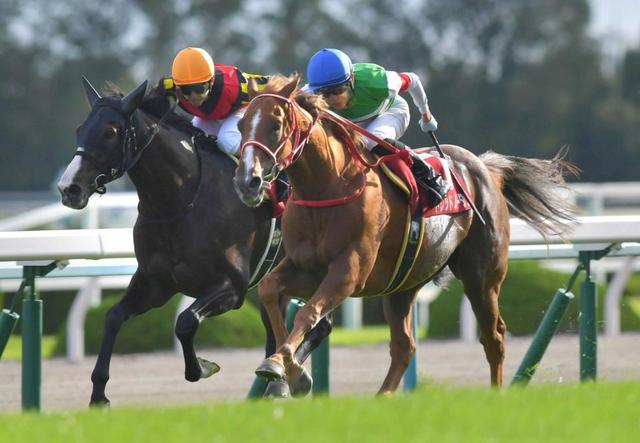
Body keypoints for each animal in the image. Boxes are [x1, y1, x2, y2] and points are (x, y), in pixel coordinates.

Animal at [57, 77, 328, 406]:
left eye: (110, 131)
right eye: (79, 129)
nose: (68, 188)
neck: (179, 201)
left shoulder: (230, 287)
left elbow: (185, 321)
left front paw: (202, 366)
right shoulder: (155, 283)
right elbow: (112, 317)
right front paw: (98, 394)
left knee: (318, 324)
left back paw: (288, 378)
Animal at [232, 76, 576, 396]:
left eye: (276, 125)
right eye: (240, 124)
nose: (248, 181)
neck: (327, 187)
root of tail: (485, 168)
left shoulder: (348, 271)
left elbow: (308, 311)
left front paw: (284, 366)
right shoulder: (305, 267)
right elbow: (269, 290)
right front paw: (287, 370)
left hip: (482, 276)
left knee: (494, 336)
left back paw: (495, 393)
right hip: (403, 284)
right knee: (404, 347)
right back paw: (381, 397)